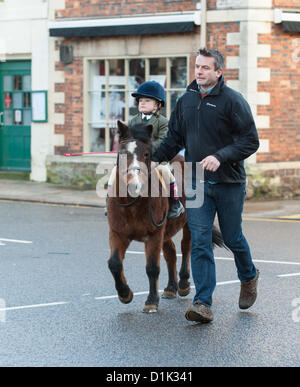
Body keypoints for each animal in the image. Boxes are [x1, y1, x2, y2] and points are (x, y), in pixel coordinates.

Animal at [106, 123, 224, 314]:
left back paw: (182, 284)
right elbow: (114, 263)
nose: (134, 185)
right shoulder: (118, 234)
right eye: (122, 153)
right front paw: (125, 294)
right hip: (166, 231)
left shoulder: (154, 235)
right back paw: (170, 287)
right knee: (171, 253)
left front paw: (151, 301)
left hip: (186, 226)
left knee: (185, 248)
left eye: (147, 154)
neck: (133, 205)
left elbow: (152, 268)